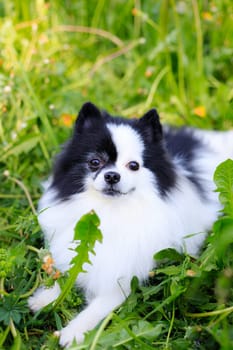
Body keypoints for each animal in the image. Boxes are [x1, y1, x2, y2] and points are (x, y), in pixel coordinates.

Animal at [29, 102, 233, 348]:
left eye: (134, 165)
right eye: (95, 162)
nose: (112, 176)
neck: (109, 212)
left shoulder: (124, 278)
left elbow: (99, 305)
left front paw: (75, 331)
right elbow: (67, 273)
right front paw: (46, 297)